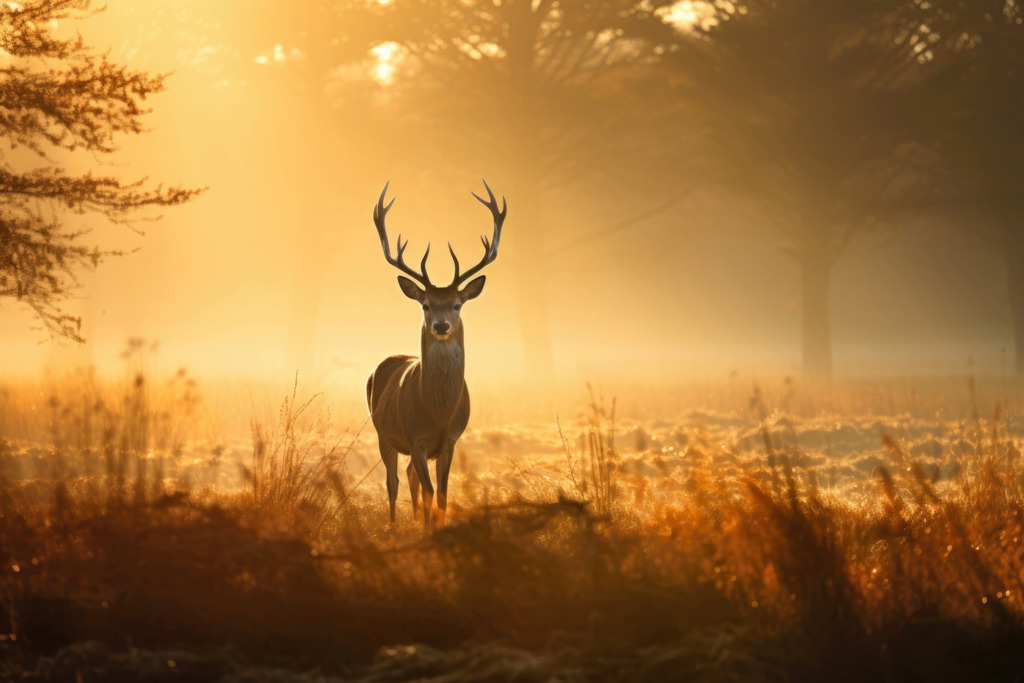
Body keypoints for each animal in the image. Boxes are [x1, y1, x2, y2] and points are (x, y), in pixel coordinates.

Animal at [365, 179, 507, 528]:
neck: (438, 411)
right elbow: (429, 492)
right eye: (425, 305)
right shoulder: (415, 437)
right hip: (382, 431)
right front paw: (427, 532)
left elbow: (441, 494)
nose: (441, 326)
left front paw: (435, 528)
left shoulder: (452, 439)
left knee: (409, 477)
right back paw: (393, 526)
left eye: (457, 304)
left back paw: (415, 520)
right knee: (393, 481)